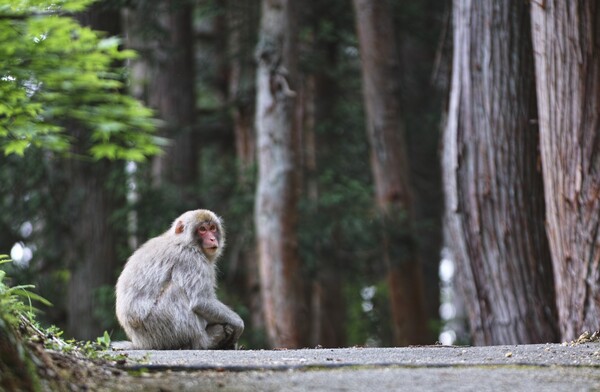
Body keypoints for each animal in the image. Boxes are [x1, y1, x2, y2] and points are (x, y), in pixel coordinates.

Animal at [115, 208, 244, 350]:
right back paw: (205, 340)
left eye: (212, 228)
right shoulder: (190, 259)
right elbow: (200, 301)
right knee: (176, 291)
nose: (212, 238)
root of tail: (139, 343)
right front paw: (238, 323)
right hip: (159, 328)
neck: (184, 241)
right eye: (202, 229)